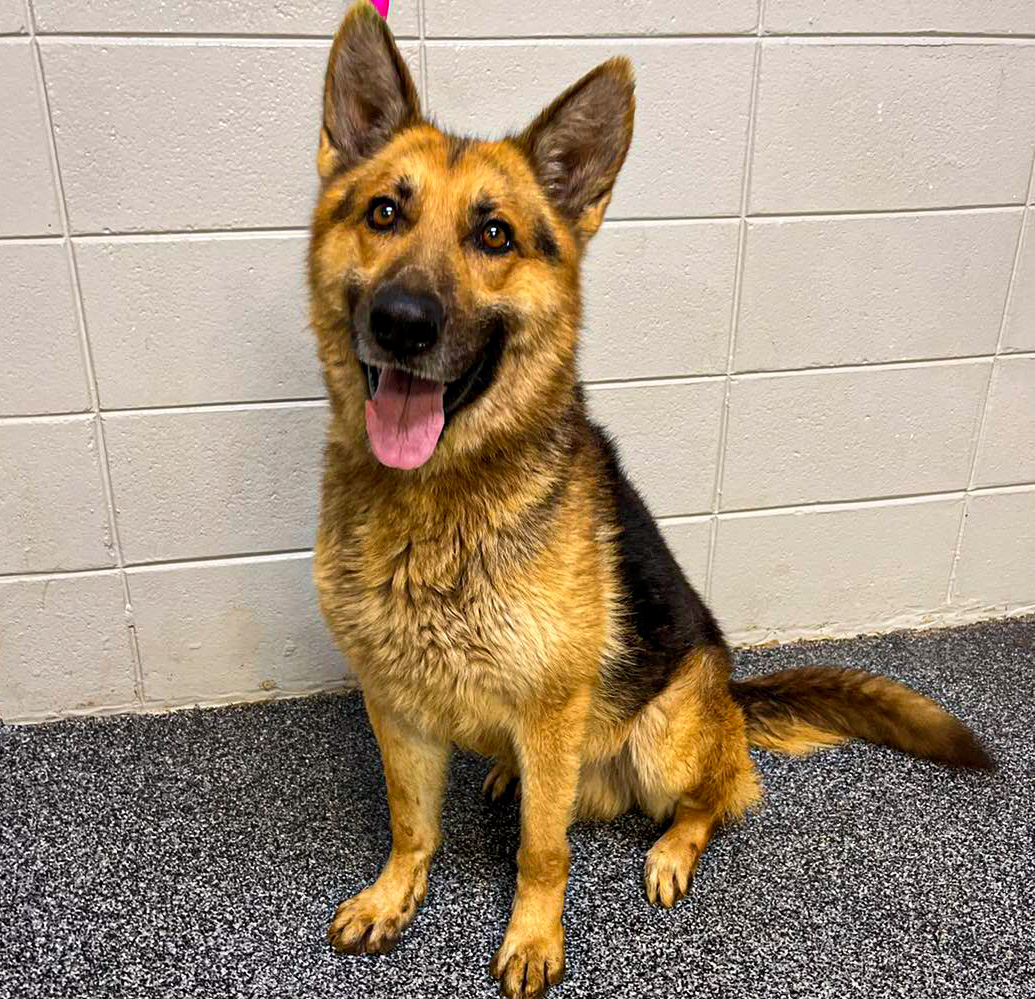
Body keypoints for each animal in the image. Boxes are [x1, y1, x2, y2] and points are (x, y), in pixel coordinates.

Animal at [306, 5, 993, 996]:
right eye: (383, 214)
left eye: (494, 236)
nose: (402, 323)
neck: (438, 502)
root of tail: (732, 696)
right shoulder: (393, 706)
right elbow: (411, 823)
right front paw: (395, 894)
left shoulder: (549, 711)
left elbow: (541, 852)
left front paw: (533, 936)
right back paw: (511, 779)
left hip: (665, 738)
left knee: (716, 797)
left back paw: (669, 845)